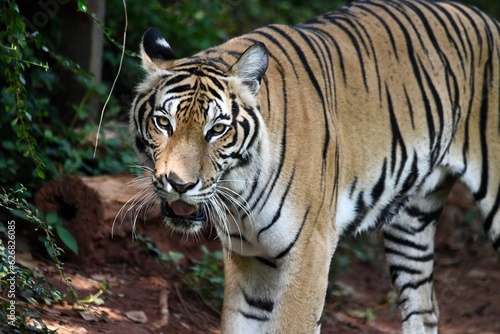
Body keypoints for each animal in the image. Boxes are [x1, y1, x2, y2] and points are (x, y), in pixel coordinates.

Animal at [129, 0, 500, 332]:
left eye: (217, 129)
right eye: (163, 123)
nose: (179, 184)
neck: (240, 194)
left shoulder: (310, 252)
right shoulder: (250, 260)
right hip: (411, 221)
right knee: (425, 307)